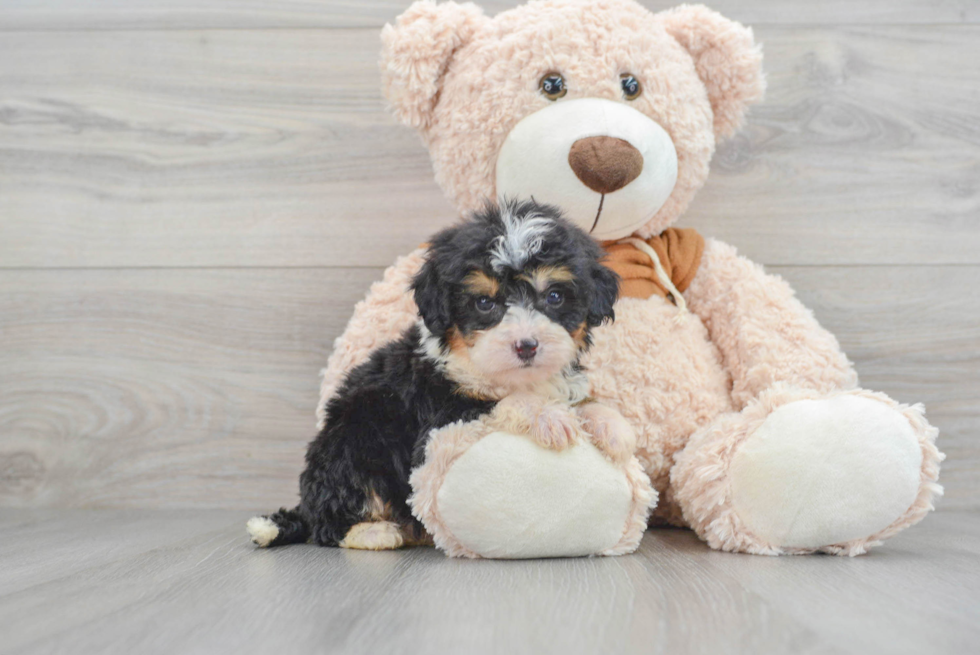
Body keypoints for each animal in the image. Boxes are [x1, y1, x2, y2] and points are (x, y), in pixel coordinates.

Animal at [249, 202, 624, 552]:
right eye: (484, 302)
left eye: (554, 296)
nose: (526, 346)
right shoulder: (438, 415)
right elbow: (502, 402)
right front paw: (548, 416)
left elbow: (583, 401)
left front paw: (611, 426)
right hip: (354, 445)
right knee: (330, 524)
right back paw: (378, 533)